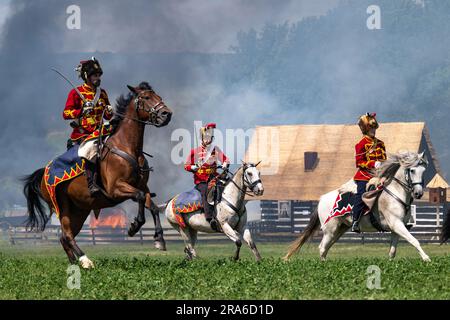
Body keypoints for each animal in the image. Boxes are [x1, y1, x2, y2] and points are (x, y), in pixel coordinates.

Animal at [22, 82, 174, 268]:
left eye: (159, 97)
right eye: (146, 97)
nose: (166, 114)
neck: (127, 147)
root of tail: (44, 171)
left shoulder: (142, 187)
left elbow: (151, 205)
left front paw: (159, 239)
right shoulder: (116, 189)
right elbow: (139, 197)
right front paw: (134, 226)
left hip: (79, 211)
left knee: (64, 238)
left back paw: (74, 263)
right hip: (62, 208)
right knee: (67, 235)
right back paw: (85, 260)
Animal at [284, 152, 432, 262]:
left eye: (424, 170)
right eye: (412, 170)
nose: (418, 193)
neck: (395, 193)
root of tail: (321, 199)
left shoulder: (396, 228)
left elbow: (392, 251)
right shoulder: (396, 224)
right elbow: (414, 240)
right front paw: (426, 258)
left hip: (340, 229)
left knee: (326, 248)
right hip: (330, 229)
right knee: (322, 247)